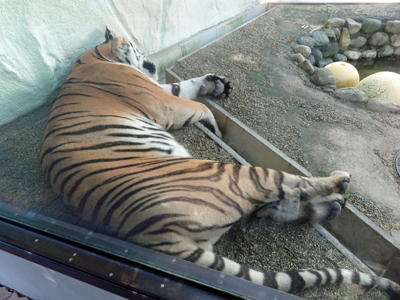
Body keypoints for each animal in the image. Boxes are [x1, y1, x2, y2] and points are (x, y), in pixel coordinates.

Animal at [40, 27, 400, 298]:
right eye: (138, 47)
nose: (151, 62)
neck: (95, 57)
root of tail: (152, 236)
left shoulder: (162, 89)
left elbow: (183, 86)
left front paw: (215, 83)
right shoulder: (161, 100)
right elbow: (195, 105)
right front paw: (213, 121)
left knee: (273, 210)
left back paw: (333, 206)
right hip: (239, 176)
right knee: (288, 188)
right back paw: (338, 184)